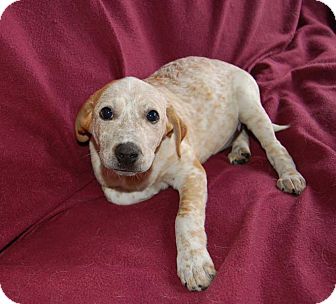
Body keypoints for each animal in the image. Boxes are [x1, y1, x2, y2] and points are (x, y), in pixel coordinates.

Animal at [75, 55, 306, 290]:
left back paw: (289, 175)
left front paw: (194, 264)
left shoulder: (193, 173)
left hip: (252, 109)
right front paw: (155, 183)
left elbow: (185, 218)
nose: (127, 153)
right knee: (241, 132)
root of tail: (231, 65)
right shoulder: (108, 179)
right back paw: (240, 149)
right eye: (106, 112)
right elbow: (120, 195)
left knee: (274, 146)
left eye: (153, 116)